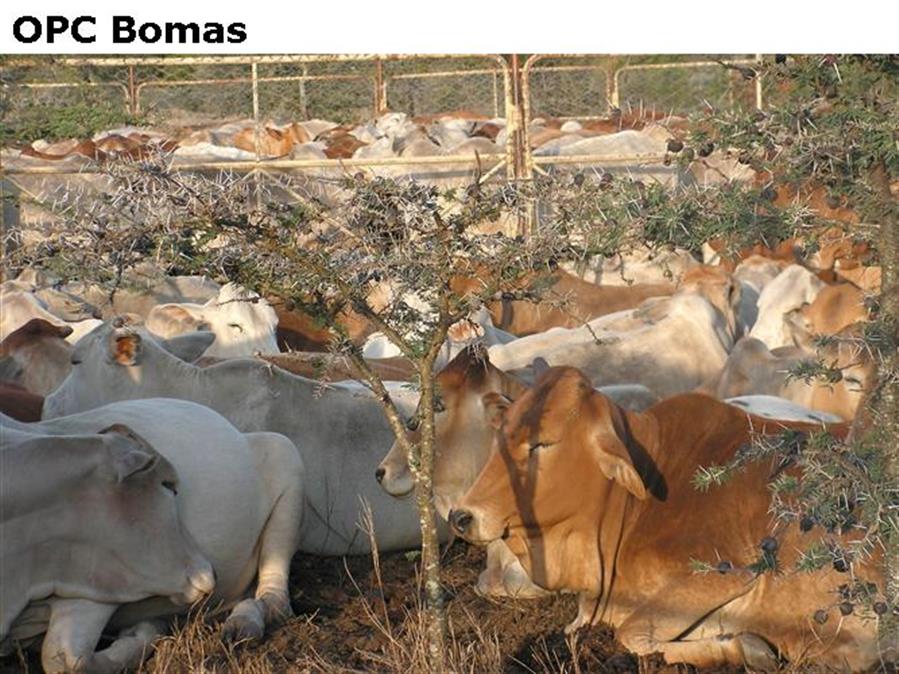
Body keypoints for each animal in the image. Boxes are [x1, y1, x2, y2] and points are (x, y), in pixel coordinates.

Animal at [449, 367, 884, 670]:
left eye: (542, 444)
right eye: (500, 436)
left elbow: (630, 632)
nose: (460, 516)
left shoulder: (727, 572)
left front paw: (750, 646)